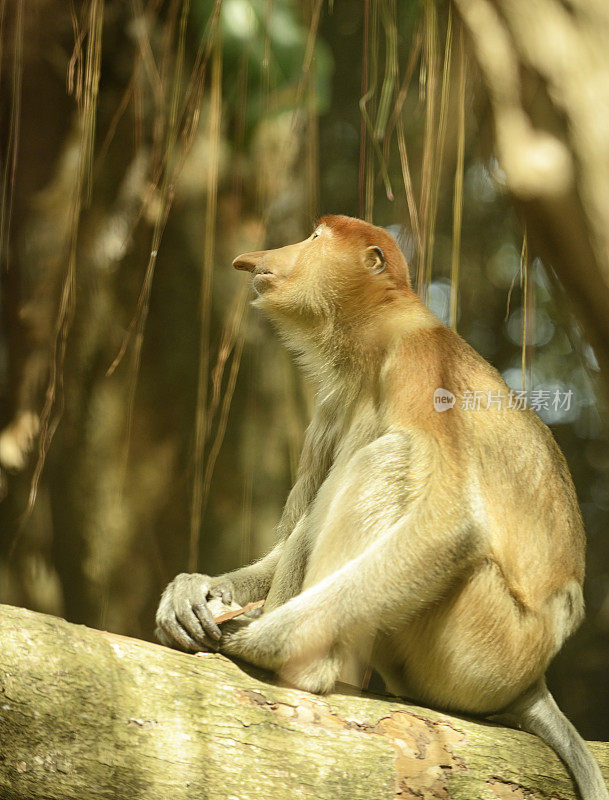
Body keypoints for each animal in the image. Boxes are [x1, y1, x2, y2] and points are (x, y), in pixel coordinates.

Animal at [156, 214, 604, 800]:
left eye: (315, 239)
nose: (260, 258)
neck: (371, 348)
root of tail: (534, 678)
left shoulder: (421, 365)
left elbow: (451, 524)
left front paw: (265, 639)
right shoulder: (332, 403)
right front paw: (195, 591)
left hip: (484, 645)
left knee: (391, 457)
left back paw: (311, 671)